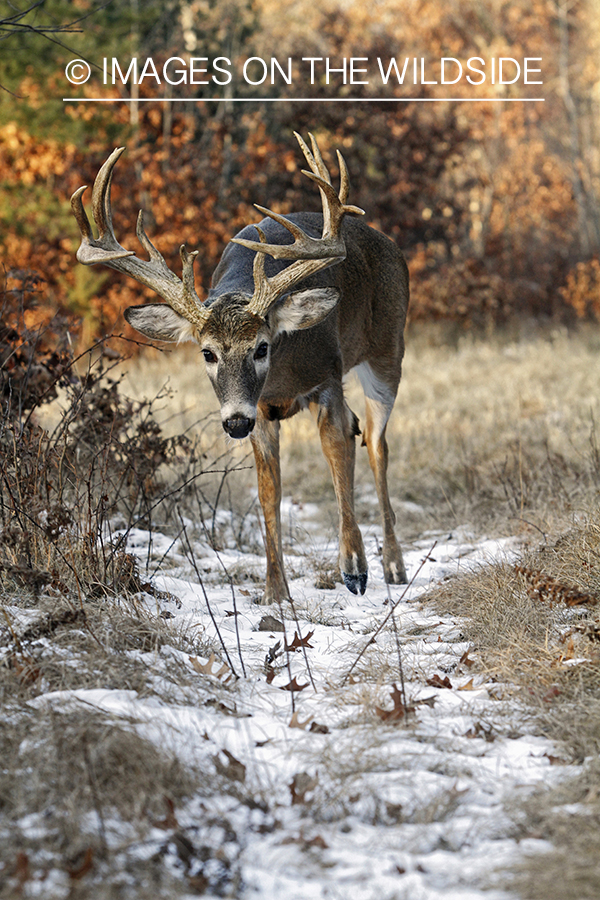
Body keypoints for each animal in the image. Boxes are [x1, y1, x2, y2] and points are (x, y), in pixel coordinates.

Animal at [69, 134, 408, 604]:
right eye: (207, 353)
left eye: (262, 347)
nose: (232, 423)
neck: (282, 376)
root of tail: (389, 244)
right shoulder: (259, 411)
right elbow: (268, 492)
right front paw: (274, 592)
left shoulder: (327, 377)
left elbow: (338, 455)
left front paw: (354, 567)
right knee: (362, 432)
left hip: (387, 349)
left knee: (376, 443)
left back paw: (393, 565)